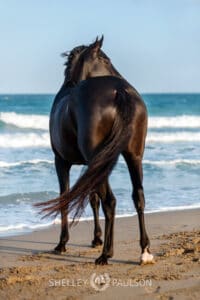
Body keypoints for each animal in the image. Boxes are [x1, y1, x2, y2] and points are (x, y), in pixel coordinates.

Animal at [36, 37, 154, 264]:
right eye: (106, 60)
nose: (121, 75)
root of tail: (120, 90)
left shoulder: (61, 162)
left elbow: (65, 198)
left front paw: (62, 244)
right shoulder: (90, 166)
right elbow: (92, 199)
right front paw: (96, 239)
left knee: (111, 201)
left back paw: (106, 254)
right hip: (133, 157)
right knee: (138, 197)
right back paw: (145, 252)